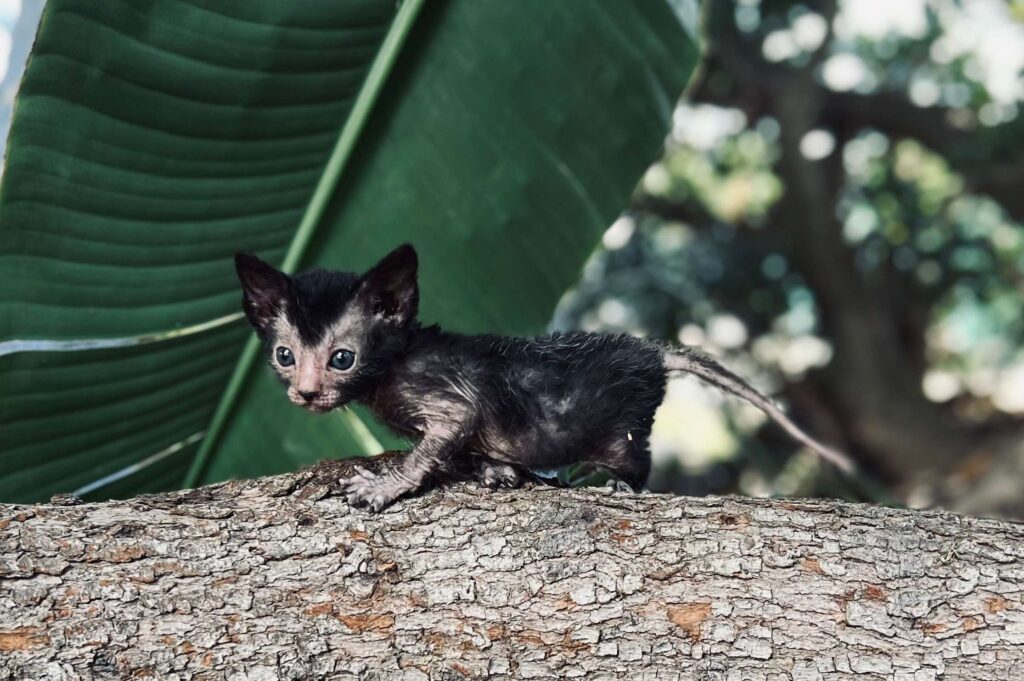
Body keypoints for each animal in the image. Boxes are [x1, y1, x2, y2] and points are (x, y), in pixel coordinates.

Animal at [235, 244, 851, 509]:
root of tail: (652, 351)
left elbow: (432, 447)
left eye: (342, 358)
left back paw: (613, 484)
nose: (305, 393)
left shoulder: (453, 402)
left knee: (638, 458)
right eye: (285, 355)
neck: (394, 368)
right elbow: (463, 453)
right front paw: (496, 471)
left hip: (620, 427)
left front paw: (382, 487)